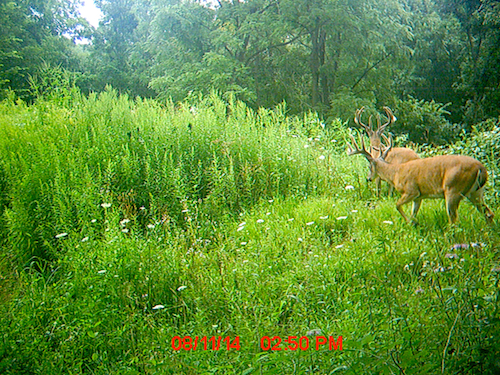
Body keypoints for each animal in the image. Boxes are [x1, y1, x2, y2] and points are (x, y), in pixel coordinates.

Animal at [346, 133, 494, 225]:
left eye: (369, 166)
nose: (368, 178)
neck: (395, 173)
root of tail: (481, 168)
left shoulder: (411, 191)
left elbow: (397, 205)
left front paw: (410, 222)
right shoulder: (419, 196)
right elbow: (413, 213)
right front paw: (413, 223)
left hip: (453, 189)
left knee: (454, 220)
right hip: (476, 192)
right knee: (488, 213)